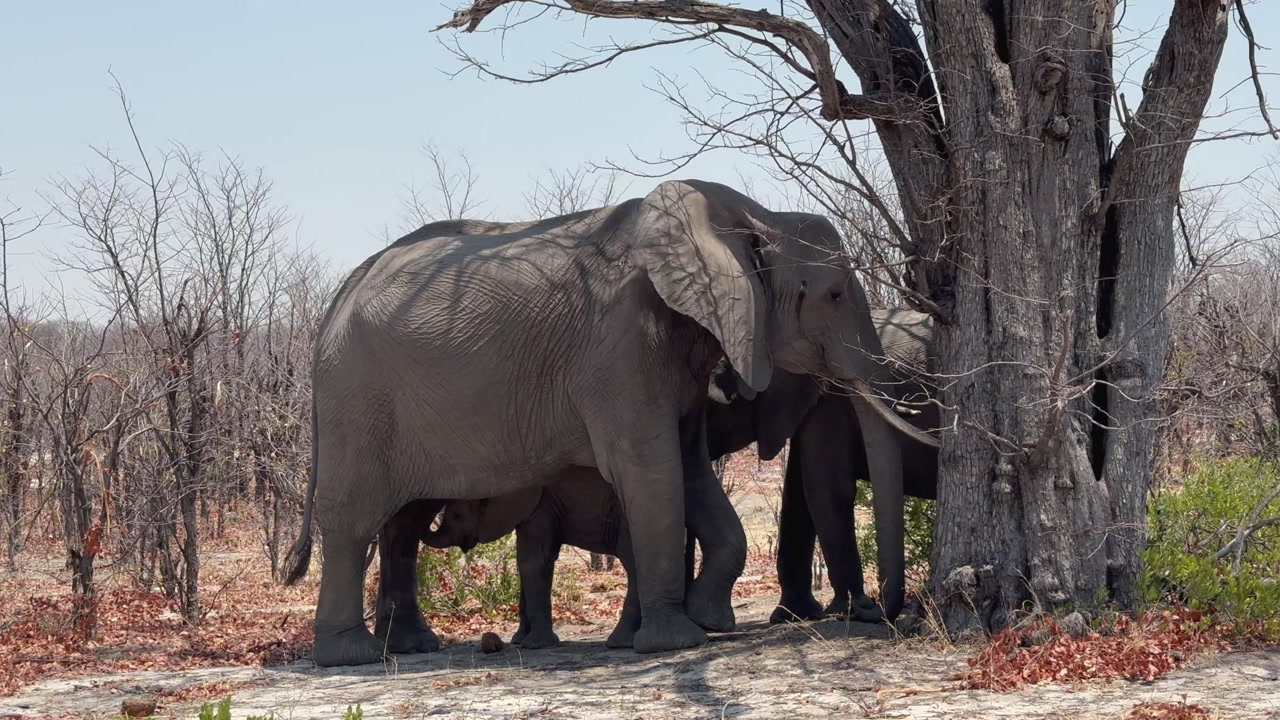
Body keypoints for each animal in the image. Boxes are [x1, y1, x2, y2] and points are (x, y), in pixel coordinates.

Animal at [281, 179, 937, 666]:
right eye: (833, 294)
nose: (884, 615)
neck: (745, 215)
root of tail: (338, 298)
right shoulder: (621, 344)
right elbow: (651, 470)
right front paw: (677, 641)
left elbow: (691, 472)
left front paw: (705, 620)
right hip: (357, 397)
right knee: (354, 518)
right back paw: (350, 657)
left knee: (405, 519)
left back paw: (411, 648)